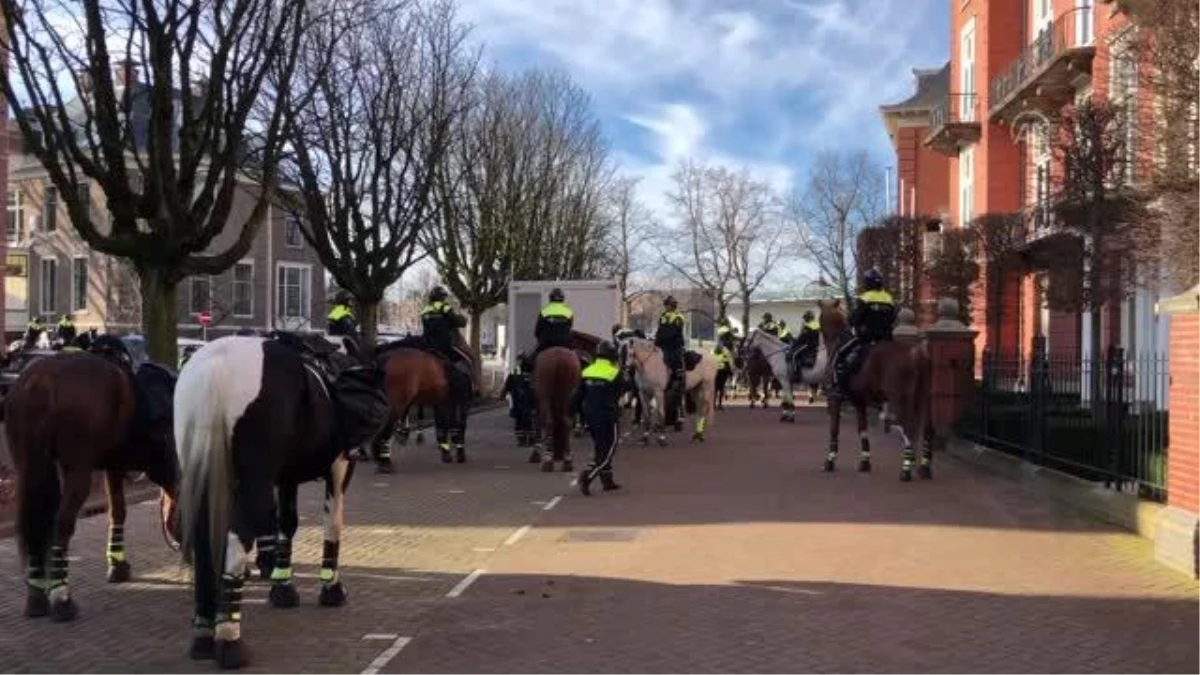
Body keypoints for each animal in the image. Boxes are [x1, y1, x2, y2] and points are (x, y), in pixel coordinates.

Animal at [5, 348, 178, 619]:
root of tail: (40, 381)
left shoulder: (114, 465)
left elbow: (118, 510)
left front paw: (117, 564)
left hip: (30, 467)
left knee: (31, 523)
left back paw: (36, 596)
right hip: (78, 470)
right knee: (61, 523)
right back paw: (62, 599)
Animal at [174, 333, 386, 662]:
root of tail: (219, 363)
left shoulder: (286, 478)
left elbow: (286, 525)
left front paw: (282, 586)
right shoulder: (339, 468)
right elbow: (333, 525)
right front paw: (331, 588)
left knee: (204, 542)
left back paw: (204, 633)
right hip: (253, 483)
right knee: (237, 540)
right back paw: (230, 641)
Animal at [369, 331, 477, 468]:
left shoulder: (442, 402)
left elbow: (443, 426)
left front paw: (446, 452)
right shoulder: (461, 402)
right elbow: (459, 426)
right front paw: (459, 453)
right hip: (396, 405)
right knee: (386, 428)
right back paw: (385, 460)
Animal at [816, 297, 936, 478]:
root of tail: (916, 353)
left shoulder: (834, 398)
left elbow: (834, 429)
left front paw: (830, 460)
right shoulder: (859, 402)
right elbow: (862, 430)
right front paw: (865, 462)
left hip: (900, 399)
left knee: (909, 428)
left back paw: (906, 469)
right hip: (923, 397)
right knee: (927, 429)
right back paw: (924, 467)